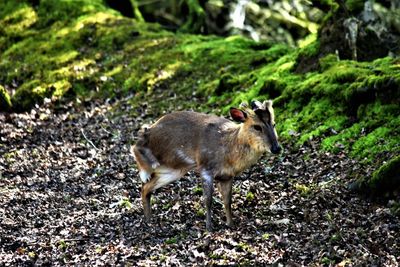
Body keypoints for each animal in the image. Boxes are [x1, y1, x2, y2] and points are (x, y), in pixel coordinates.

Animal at [132, 100, 282, 232]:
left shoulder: (227, 176)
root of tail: (148, 131)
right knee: (136, 151)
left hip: (174, 169)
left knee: (146, 187)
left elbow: (227, 200)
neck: (229, 151)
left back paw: (149, 219)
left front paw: (230, 224)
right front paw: (209, 227)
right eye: (257, 126)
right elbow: (208, 200)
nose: (276, 148)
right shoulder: (205, 168)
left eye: (274, 124)